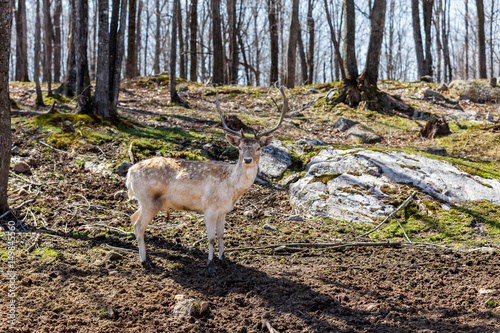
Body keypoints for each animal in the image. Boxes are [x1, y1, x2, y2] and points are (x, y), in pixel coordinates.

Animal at [126, 87, 290, 274]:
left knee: (132, 219)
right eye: (240, 148)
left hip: (143, 201)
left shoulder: (223, 211)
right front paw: (211, 265)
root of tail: (129, 173)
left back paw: (146, 257)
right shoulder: (209, 208)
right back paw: (145, 262)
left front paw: (223, 261)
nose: (248, 160)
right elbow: (211, 237)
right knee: (139, 226)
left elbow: (221, 235)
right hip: (150, 200)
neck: (232, 189)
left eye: (258, 148)